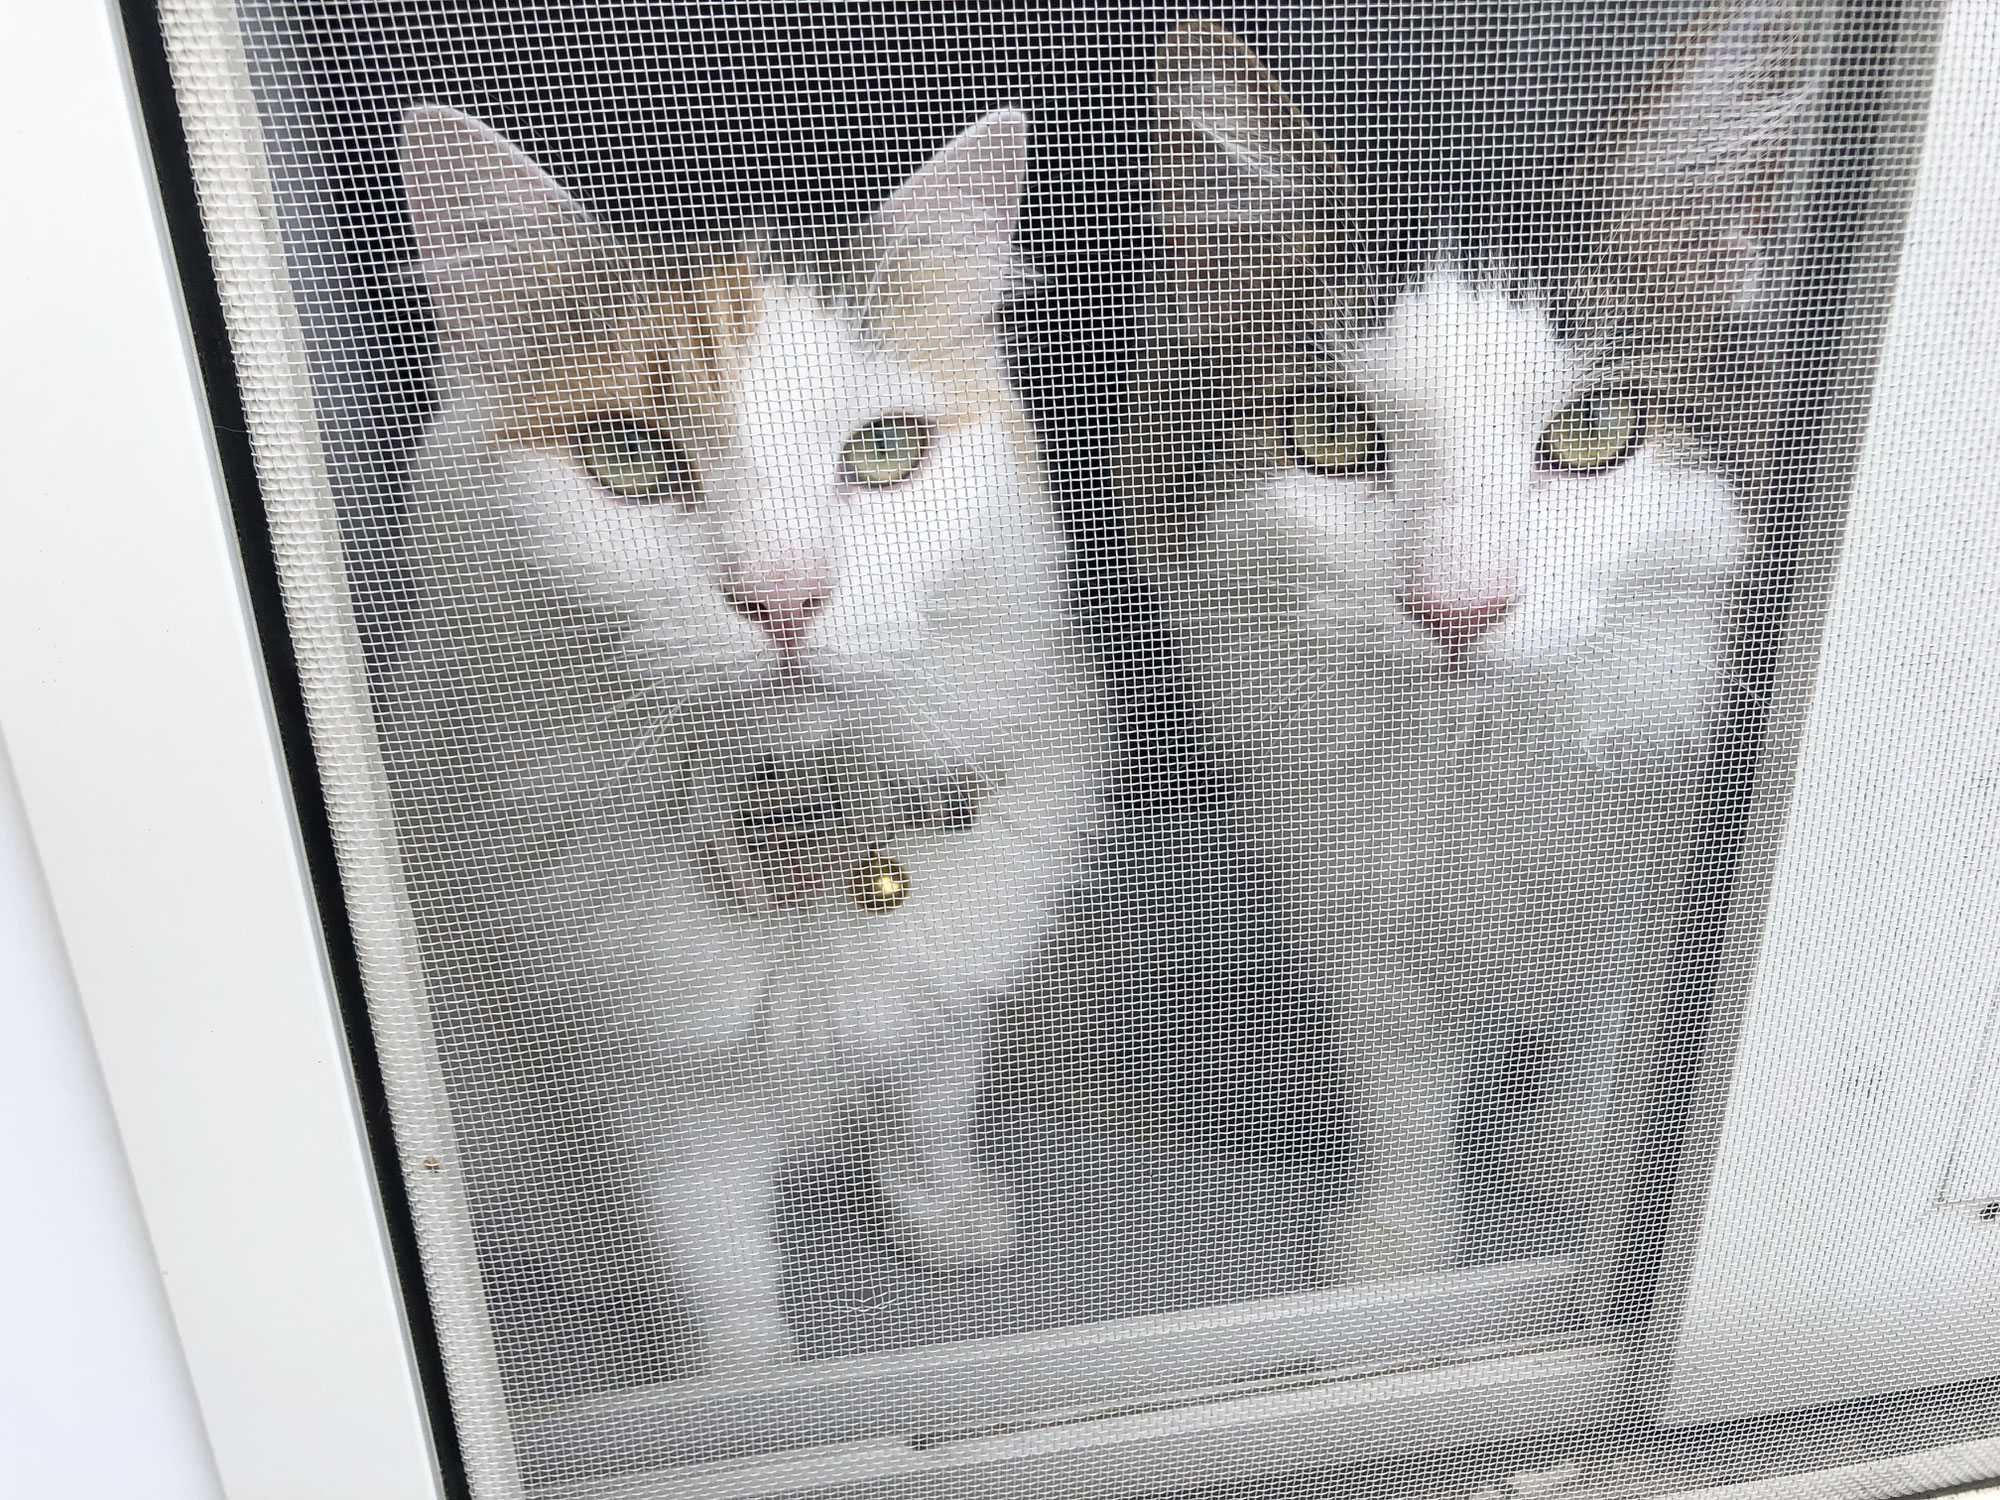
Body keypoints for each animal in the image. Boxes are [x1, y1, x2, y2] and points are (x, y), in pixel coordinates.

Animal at [1144, 2, 1816, 1296]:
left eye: (1593, 431)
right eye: (1330, 433)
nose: (1457, 608)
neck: (1482, 755)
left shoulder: (1651, 866)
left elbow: (1599, 1017)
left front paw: (1568, 1157)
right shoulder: (1352, 895)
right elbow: (1399, 1087)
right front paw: (1399, 1243)